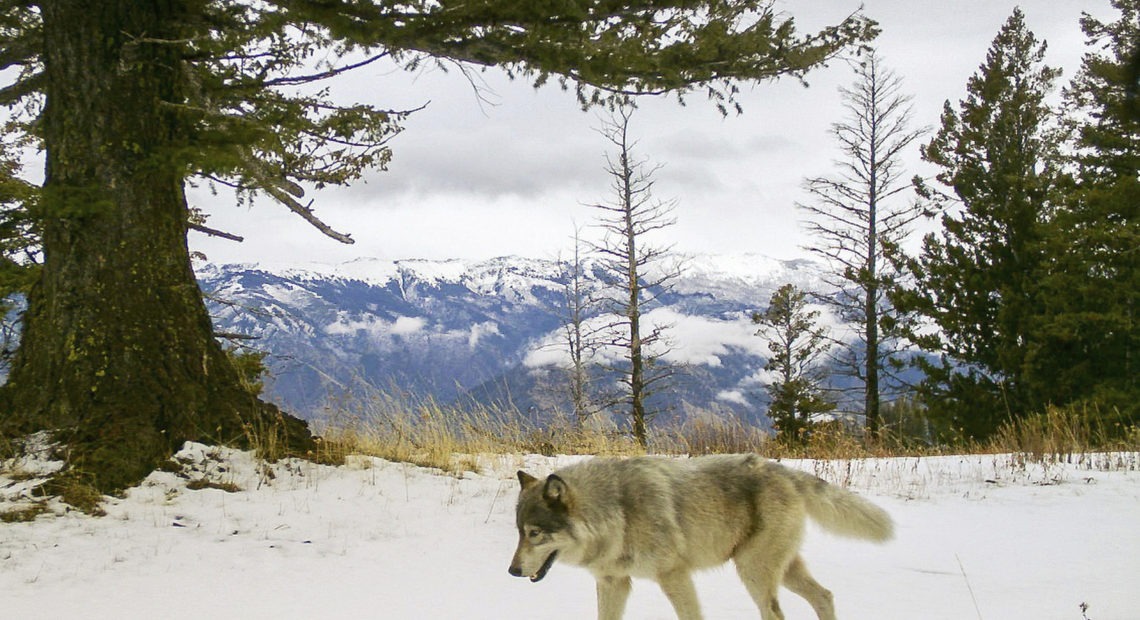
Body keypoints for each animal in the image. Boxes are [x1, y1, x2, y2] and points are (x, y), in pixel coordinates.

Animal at [508, 451, 889, 620]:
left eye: (535, 533)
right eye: (519, 533)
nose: (511, 571)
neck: (618, 513)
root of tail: (784, 470)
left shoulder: (674, 575)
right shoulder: (613, 582)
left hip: (752, 572)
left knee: (777, 613)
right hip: (781, 570)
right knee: (824, 596)